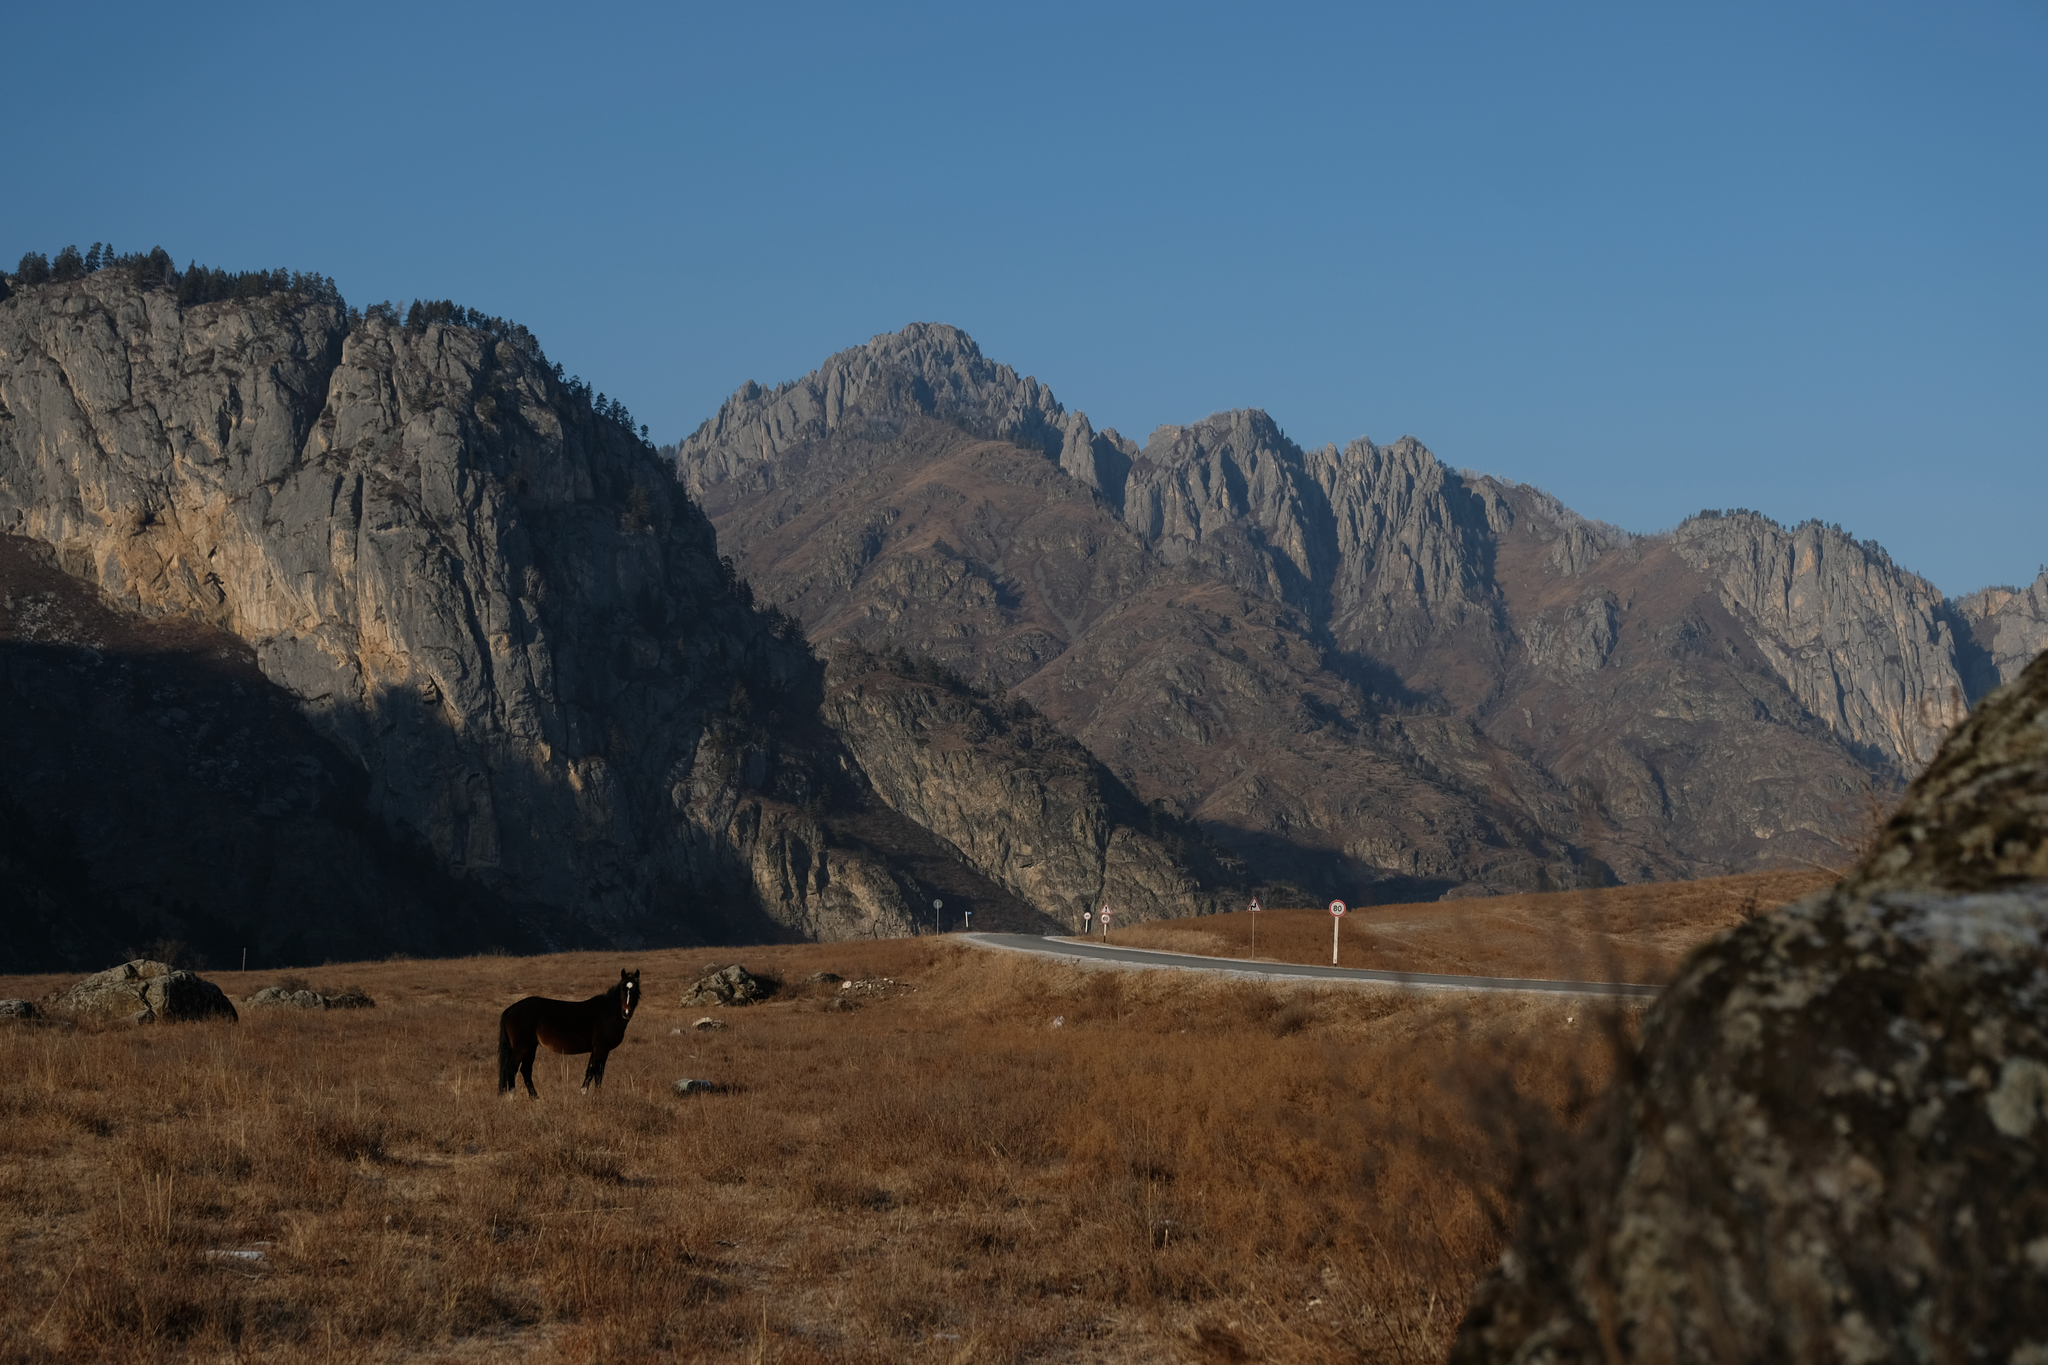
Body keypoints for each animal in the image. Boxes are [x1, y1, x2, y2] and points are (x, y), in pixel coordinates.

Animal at [497, 970, 638, 1096]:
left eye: (635, 990)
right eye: (622, 989)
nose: (626, 1012)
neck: (608, 1013)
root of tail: (511, 1008)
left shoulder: (595, 1050)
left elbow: (590, 1071)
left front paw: (583, 1093)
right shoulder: (602, 1049)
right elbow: (598, 1073)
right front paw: (598, 1096)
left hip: (531, 1047)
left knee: (525, 1070)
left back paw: (534, 1097)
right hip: (521, 1047)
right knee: (511, 1068)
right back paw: (511, 1097)